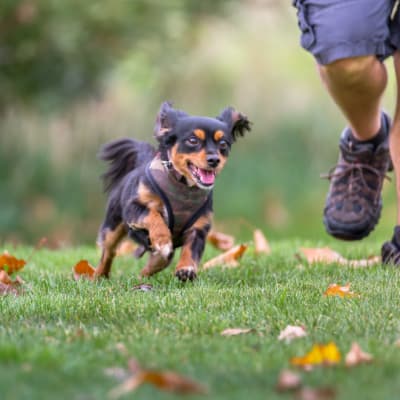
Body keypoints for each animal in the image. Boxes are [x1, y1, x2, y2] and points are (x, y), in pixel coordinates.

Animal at [95, 101, 248, 280]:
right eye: (193, 140)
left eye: (223, 144)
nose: (214, 159)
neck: (183, 185)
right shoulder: (133, 208)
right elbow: (153, 215)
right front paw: (162, 239)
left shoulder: (199, 227)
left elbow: (191, 250)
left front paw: (185, 268)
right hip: (112, 227)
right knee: (109, 251)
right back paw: (99, 275)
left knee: (161, 259)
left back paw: (146, 272)